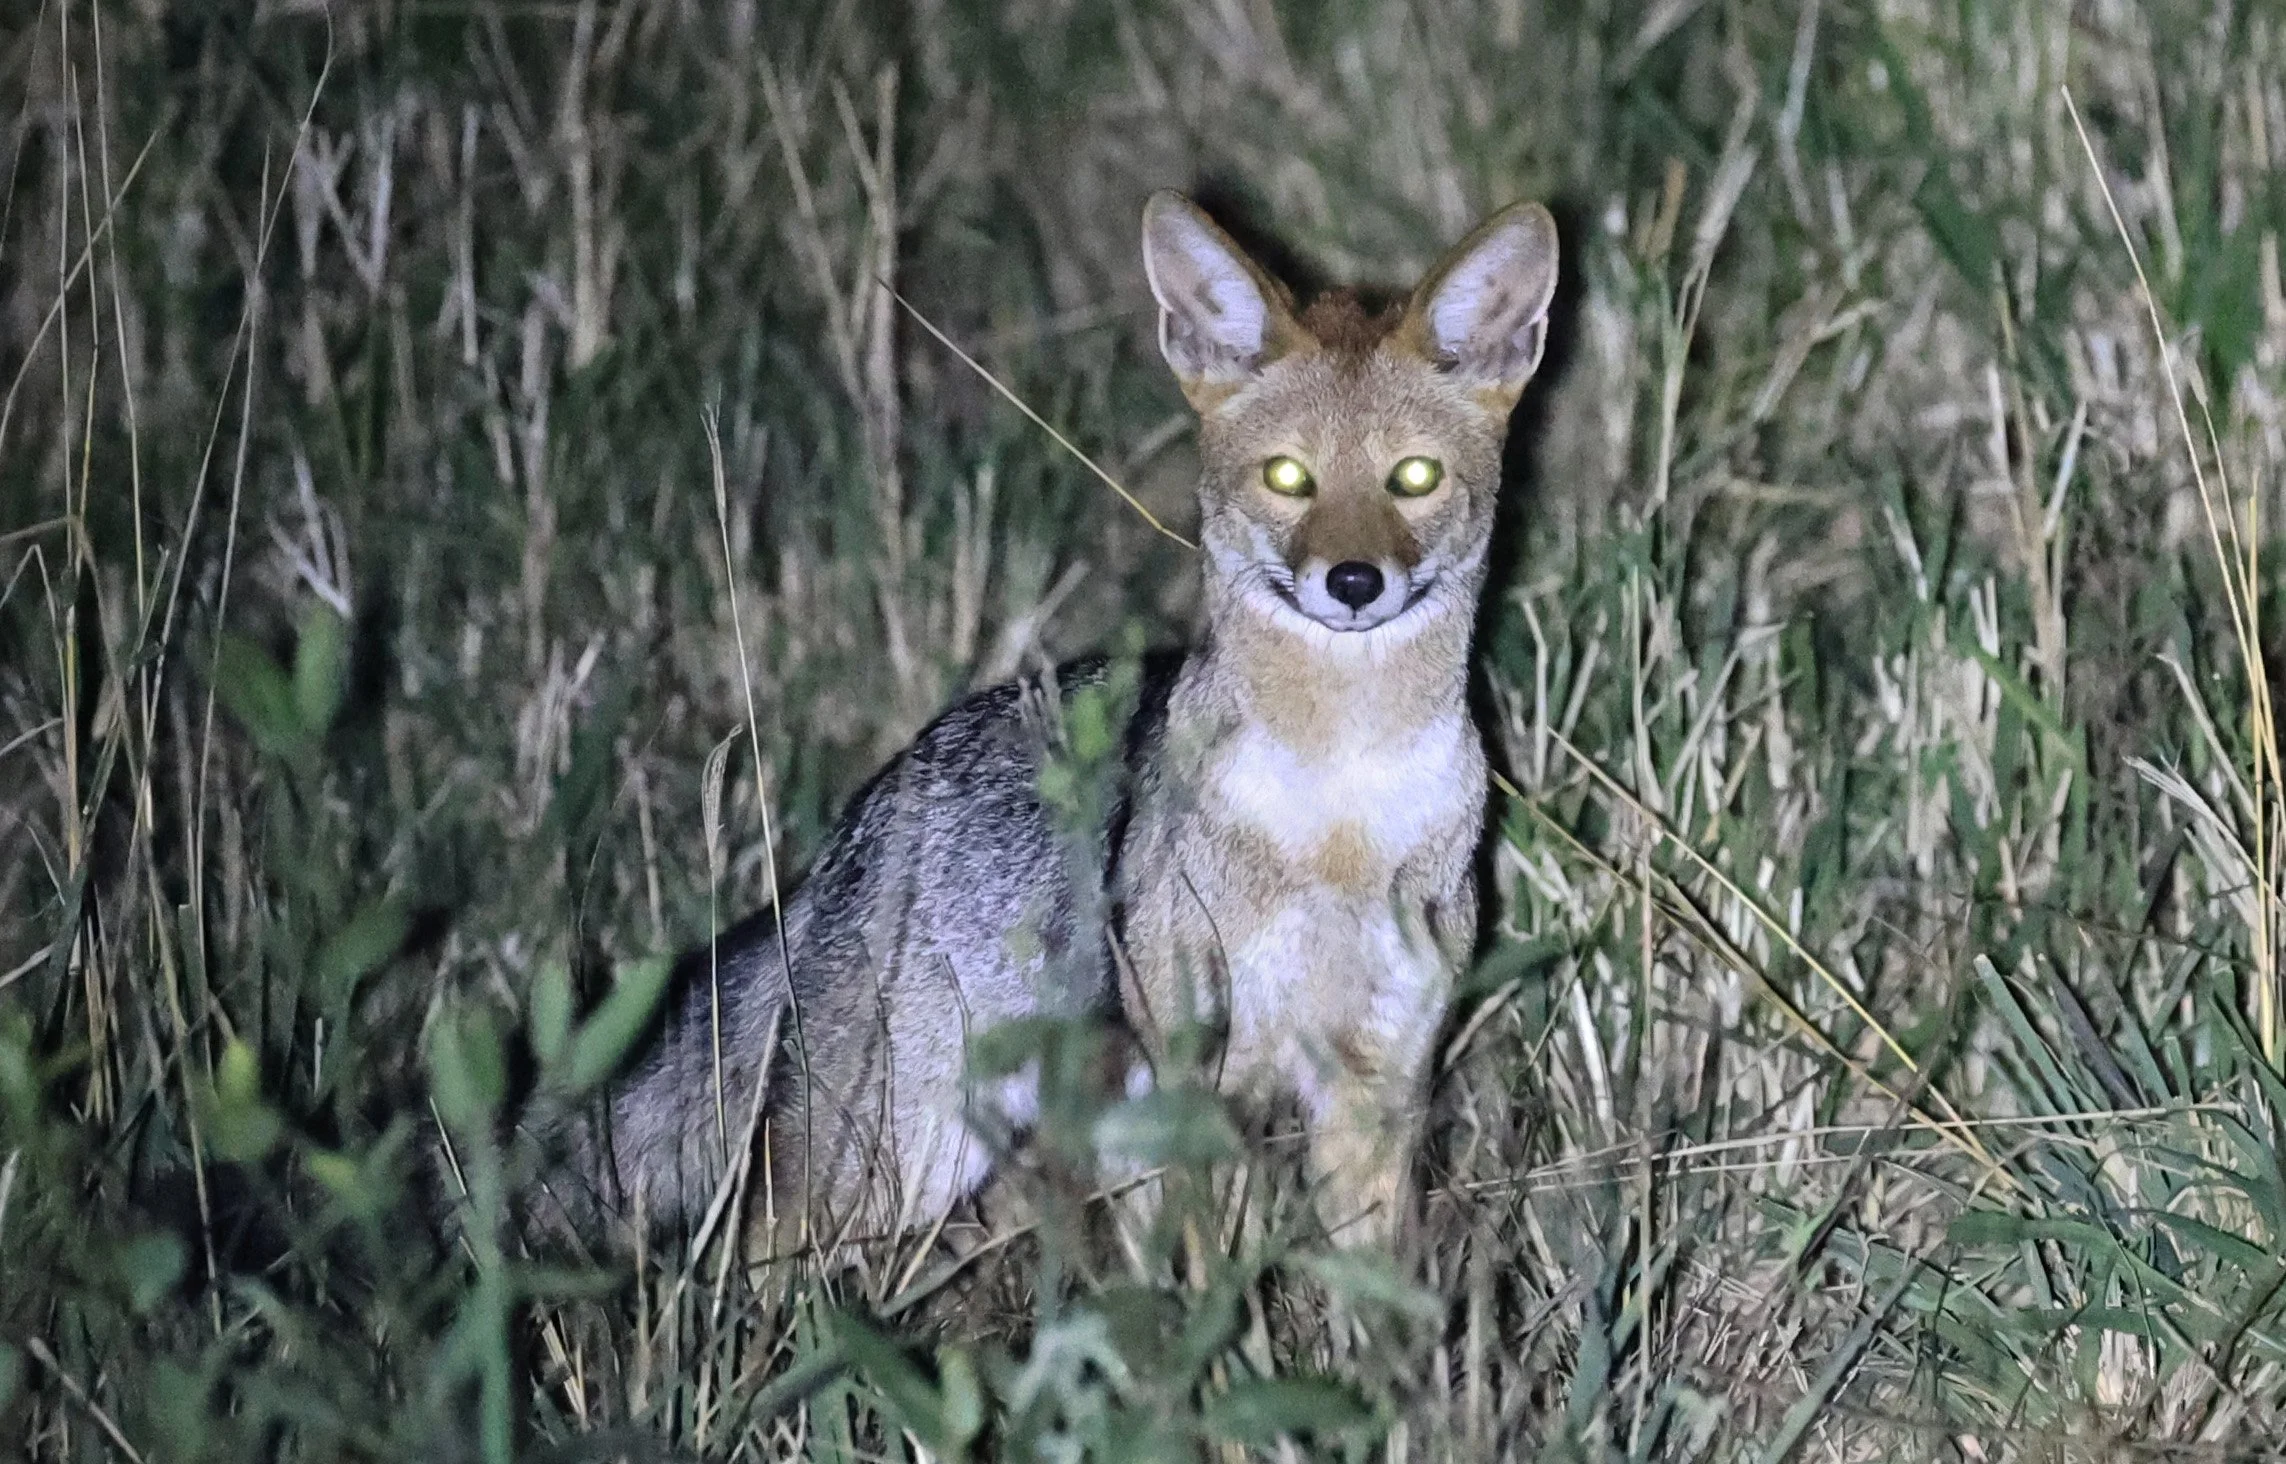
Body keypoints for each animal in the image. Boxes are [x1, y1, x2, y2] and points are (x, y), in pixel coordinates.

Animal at [535, 190, 1559, 1256]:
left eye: (1413, 478)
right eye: (1288, 478)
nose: (1354, 583)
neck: (1340, 813)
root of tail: (848, 836)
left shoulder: (1376, 1093)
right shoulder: (1200, 1082)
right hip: (885, 1171)